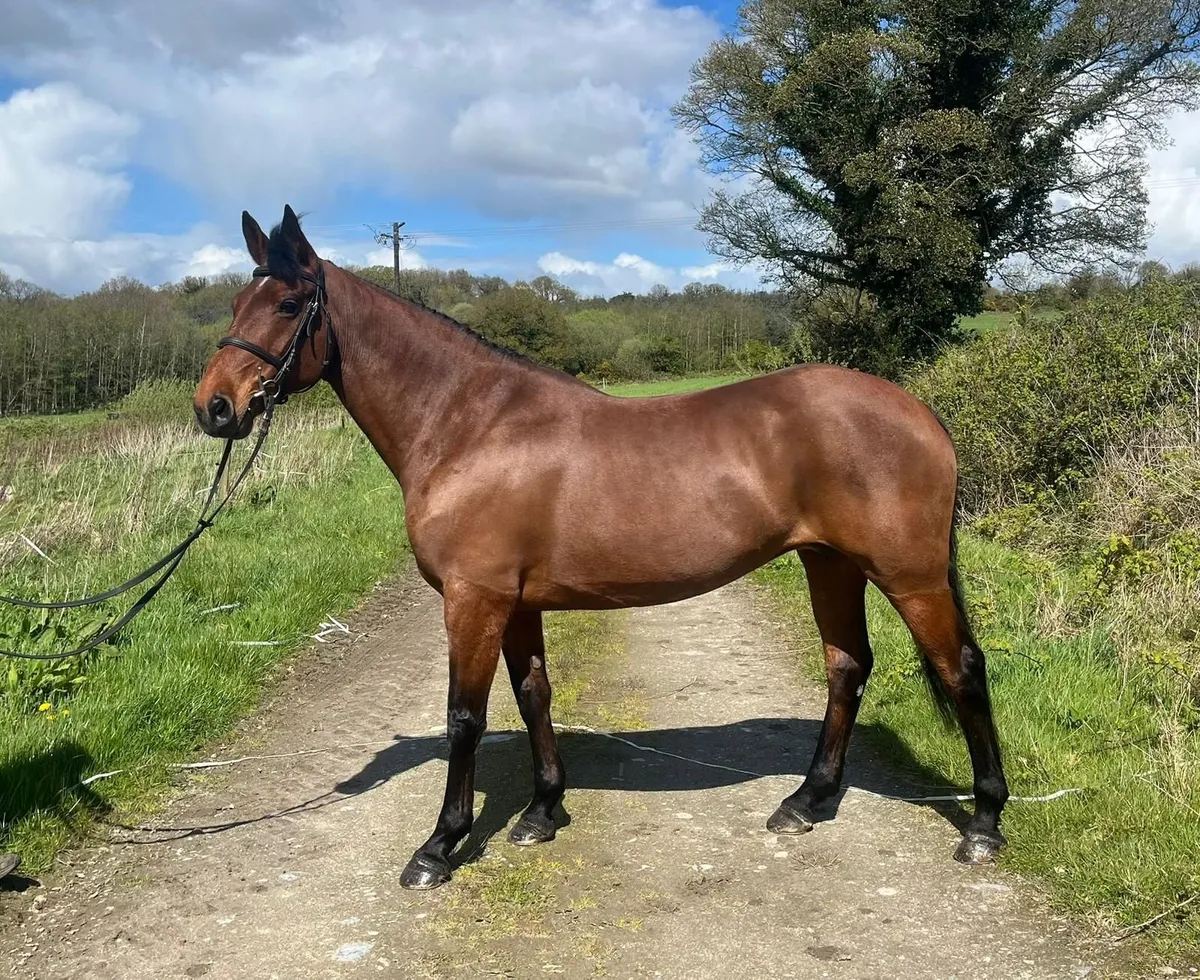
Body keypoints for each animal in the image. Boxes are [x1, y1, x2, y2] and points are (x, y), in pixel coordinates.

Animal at [193, 205, 1010, 890]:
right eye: (234, 306)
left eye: (288, 305)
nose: (215, 408)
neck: (469, 425)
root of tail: (919, 411)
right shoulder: (514, 603)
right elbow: (532, 695)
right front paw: (541, 812)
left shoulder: (474, 599)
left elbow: (465, 717)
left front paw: (439, 846)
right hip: (829, 564)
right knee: (848, 667)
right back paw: (806, 802)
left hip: (908, 576)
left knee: (962, 671)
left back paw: (983, 824)